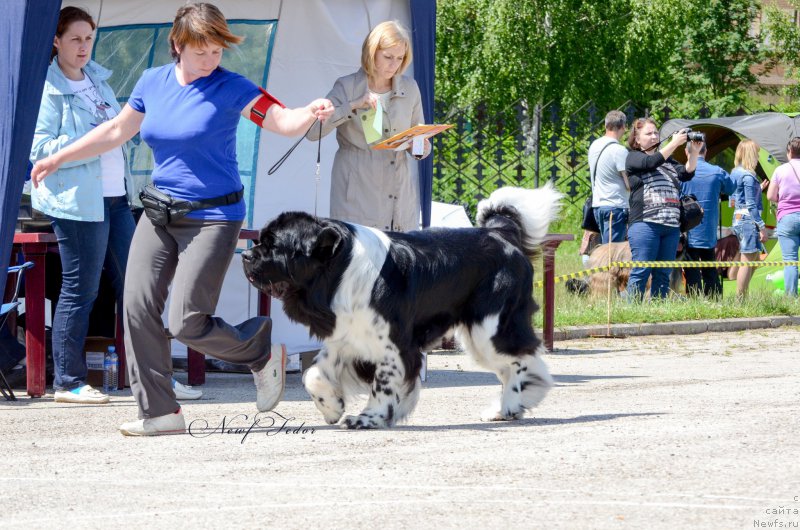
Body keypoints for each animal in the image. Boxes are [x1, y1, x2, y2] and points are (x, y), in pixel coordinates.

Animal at [244, 184, 564, 426]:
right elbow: (313, 374)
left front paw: (368, 418)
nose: (246, 256)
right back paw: (505, 409)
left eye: (273, 246)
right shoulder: (347, 340)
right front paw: (332, 407)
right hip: (477, 336)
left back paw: (511, 404)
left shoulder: (394, 346)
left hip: (488, 329)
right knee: (515, 363)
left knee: (520, 360)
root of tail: (500, 234)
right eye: (260, 241)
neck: (339, 269)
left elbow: (383, 383)